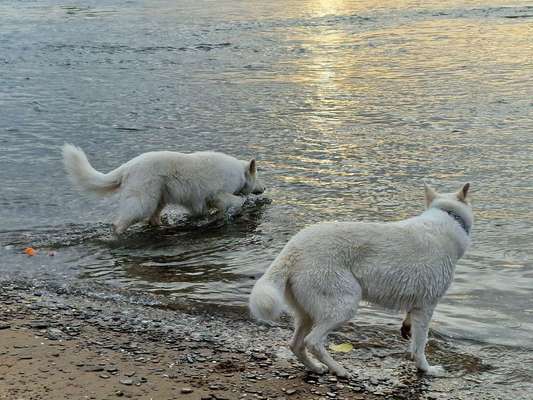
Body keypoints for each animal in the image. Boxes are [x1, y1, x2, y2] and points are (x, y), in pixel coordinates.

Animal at [61, 144, 264, 233]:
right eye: (259, 175)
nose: (264, 188)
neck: (240, 173)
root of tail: (128, 166)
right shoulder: (217, 193)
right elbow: (237, 200)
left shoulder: (199, 201)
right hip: (144, 200)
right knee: (120, 222)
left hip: (159, 197)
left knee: (152, 218)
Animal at [247, 183, 472, 376]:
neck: (448, 218)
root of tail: (292, 249)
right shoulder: (427, 307)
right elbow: (420, 345)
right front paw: (427, 369)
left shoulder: (416, 305)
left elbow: (410, 327)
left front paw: (406, 330)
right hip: (344, 304)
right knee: (313, 342)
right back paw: (339, 369)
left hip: (307, 313)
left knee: (296, 344)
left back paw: (316, 368)